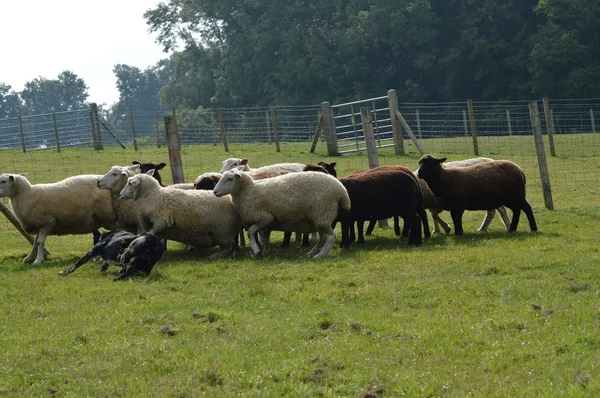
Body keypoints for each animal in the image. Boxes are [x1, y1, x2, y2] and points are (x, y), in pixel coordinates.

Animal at [213, 167, 352, 258]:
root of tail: (342, 191)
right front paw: (265, 251)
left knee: (331, 236)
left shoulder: (265, 218)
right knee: (323, 237)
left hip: (322, 214)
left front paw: (256, 250)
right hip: (318, 219)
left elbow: (251, 232)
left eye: (230, 179)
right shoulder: (266, 223)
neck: (249, 190)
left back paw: (321, 255)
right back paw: (312, 252)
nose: (215, 192)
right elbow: (264, 236)